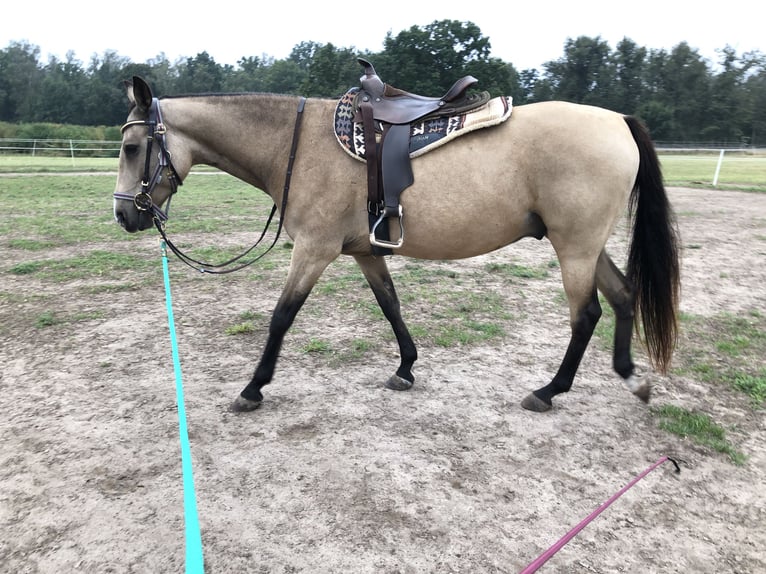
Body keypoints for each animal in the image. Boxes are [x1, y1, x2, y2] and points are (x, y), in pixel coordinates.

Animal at [112, 67, 680, 414]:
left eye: (132, 147)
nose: (123, 214)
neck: (297, 145)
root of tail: (619, 121)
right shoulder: (366, 252)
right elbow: (391, 306)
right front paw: (406, 368)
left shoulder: (313, 251)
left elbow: (281, 316)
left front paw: (253, 388)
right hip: (586, 245)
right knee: (623, 295)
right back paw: (631, 377)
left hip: (574, 247)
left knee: (586, 315)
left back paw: (548, 391)